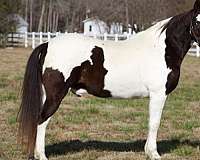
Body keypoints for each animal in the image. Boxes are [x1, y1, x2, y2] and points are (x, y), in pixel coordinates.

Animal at [17, 0, 200, 159]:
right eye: (197, 22)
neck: (162, 50)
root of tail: (47, 44)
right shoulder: (158, 94)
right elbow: (154, 123)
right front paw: (153, 154)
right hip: (55, 96)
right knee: (42, 121)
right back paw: (41, 155)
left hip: (45, 95)